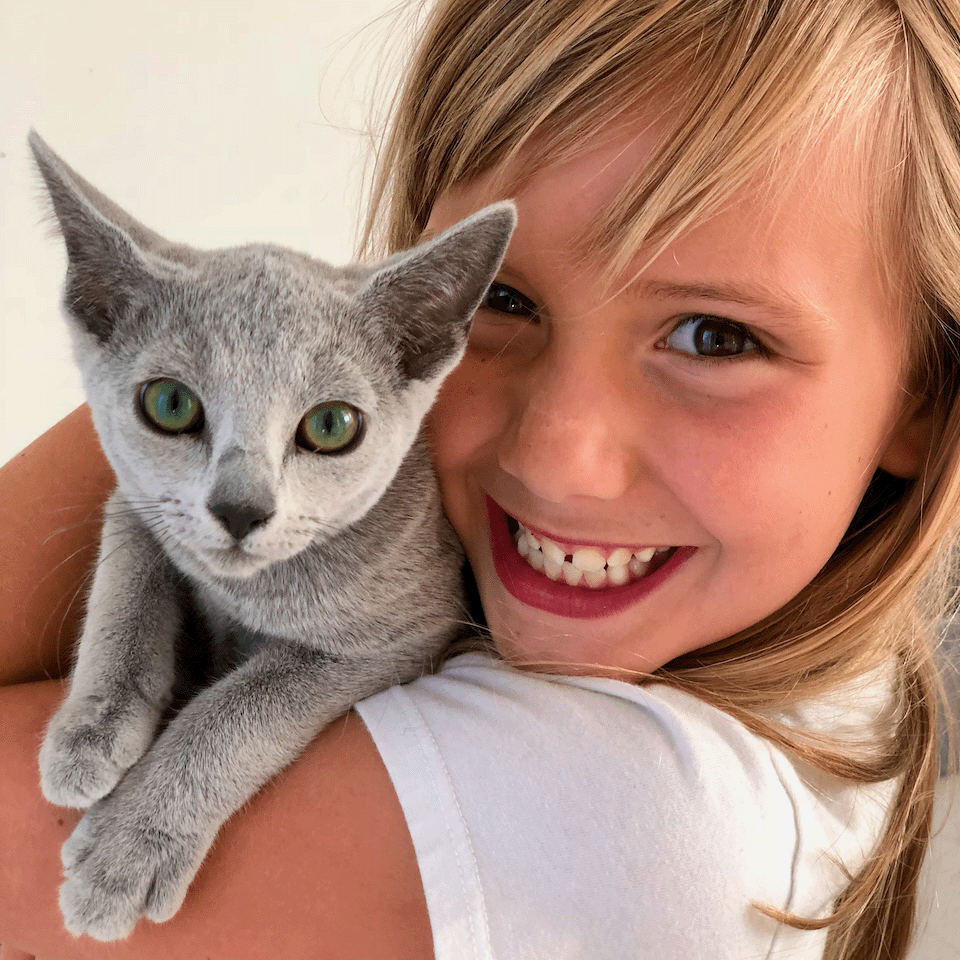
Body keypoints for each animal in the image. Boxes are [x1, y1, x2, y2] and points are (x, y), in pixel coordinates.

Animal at [30, 131, 512, 940]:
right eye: (169, 404)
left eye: (332, 425)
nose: (240, 508)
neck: (245, 591)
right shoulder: (136, 499)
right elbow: (129, 573)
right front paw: (92, 730)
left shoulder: (405, 633)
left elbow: (243, 707)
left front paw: (127, 848)